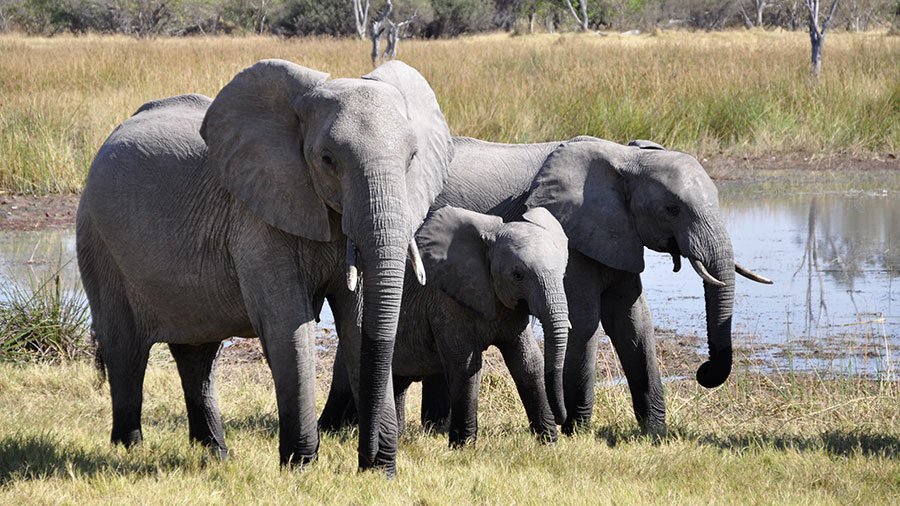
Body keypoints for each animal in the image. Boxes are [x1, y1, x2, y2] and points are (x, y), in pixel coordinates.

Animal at [76, 59, 453, 474]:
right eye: (327, 160)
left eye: (412, 158)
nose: (370, 460)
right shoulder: (256, 218)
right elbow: (288, 327)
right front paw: (300, 467)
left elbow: (357, 326)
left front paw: (378, 472)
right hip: (97, 238)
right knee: (125, 349)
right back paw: (128, 450)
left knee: (197, 355)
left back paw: (215, 454)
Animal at [320, 135, 772, 437]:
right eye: (672, 209)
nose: (704, 372)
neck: (626, 158)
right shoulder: (575, 233)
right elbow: (586, 321)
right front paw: (578, 431)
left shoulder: (617, 235)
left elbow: (632, 322)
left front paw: (654, 434)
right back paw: (339, 431)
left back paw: (428, 429)